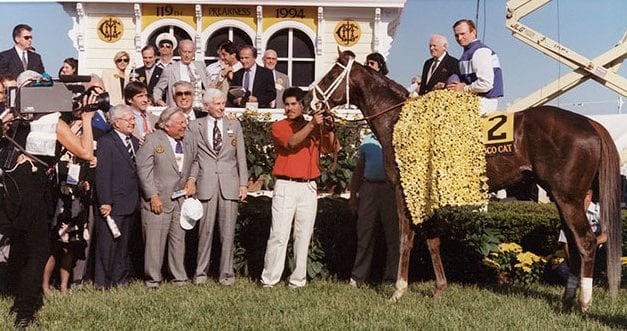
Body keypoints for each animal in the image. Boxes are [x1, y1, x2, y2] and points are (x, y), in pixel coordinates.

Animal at [306, 50, 624, 312]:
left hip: (568, 197)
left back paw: (584, 303)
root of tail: (590, 123)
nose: (310, 102)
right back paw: (568, 300)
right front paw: (439, 289)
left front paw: (398, 291)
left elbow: (406, 238)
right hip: (563, 198)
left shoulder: (404, 190)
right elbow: (432, 240)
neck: (398, 119)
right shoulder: (427, 196)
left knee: (586, 242)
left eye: (331, 74)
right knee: (574, 244)